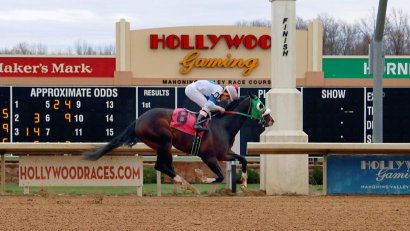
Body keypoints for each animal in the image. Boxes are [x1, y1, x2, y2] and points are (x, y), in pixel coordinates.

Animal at [83, 93, 274, 193]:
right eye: (261, 105)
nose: (271, 120)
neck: (222, 126)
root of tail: (138, 120)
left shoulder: (224, 154)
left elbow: (243, 159)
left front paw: (244, 183)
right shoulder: (209, 157)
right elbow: (219, 176)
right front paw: (200, 176)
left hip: (163, 145)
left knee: (166, 166)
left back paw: (185, 184)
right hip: (164, 141)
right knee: (160, 166)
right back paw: (186, 184)